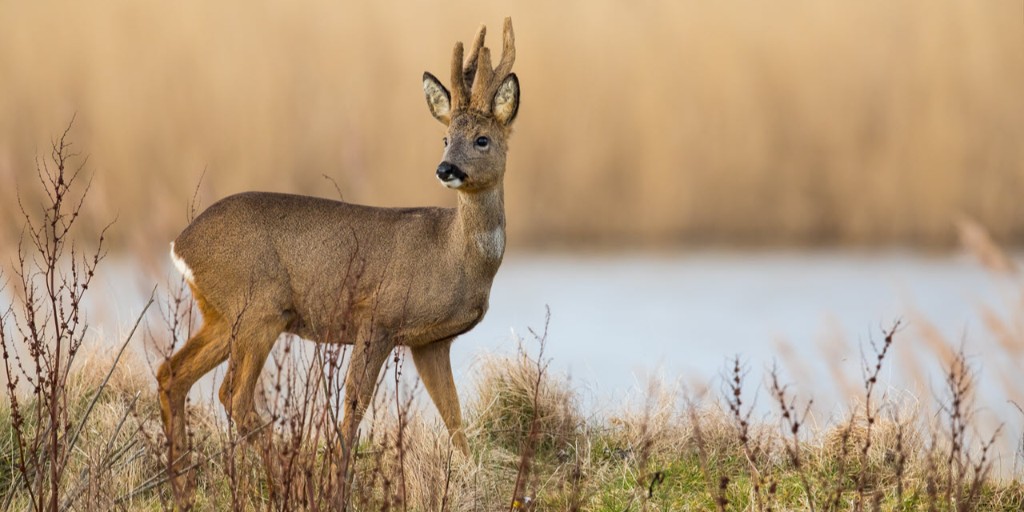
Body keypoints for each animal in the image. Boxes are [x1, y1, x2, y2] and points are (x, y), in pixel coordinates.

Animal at [157, 18, 519, 493]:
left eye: (481, 139)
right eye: (445, 137)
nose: (446, 169)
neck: (452, 253)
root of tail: (181, 244)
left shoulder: (431, 342)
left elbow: (453, 418)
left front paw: (472, 480)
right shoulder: (378, 318)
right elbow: (353, 408)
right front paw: (336, 482)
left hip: (219, 314)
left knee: (171, 373)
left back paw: (183, 484)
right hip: (258, 307)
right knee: (232, 395)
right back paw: (288, 481)